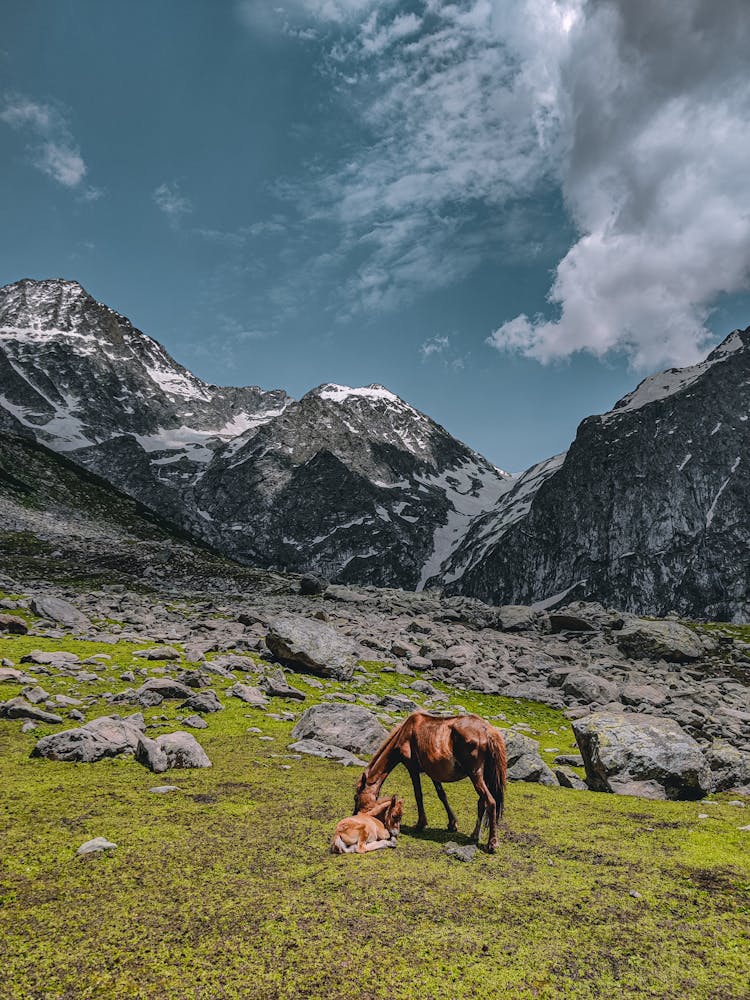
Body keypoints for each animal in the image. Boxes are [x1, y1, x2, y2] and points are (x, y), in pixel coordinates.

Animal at [356, 712, 508, 852]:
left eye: (355, 796)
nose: (357, 814)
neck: (405, 733)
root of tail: (487, 731)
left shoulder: (412, 768)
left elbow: (418, 795)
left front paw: (420, 824)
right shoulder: (434, 773)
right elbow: (442, 795)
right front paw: (452, 824)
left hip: (475, 774)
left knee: (490, 802)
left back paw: (492, 843)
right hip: (483, 776)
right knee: (481, 802)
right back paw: (475, 835)